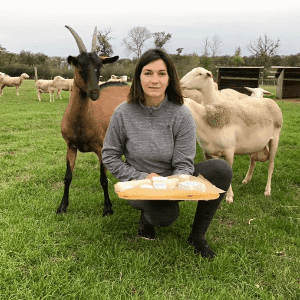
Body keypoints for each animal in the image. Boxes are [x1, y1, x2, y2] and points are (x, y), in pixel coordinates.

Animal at [56, 25, 129, 216]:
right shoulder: (70, 146)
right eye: (79, 65)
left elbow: (103, 178)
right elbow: (68, 177)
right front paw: (62, 206)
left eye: (99, 67)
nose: (95, 93)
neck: (82, 122)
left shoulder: (100, 147)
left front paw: (108, 208)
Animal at [180, 67, 284, 204]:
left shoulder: (229, 151)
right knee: (253, 160)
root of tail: (271, 101)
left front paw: (229, 197)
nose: (180, 83)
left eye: (199, 74)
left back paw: (267, 191)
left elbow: (229, 171)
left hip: (275, 139)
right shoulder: (207, 153)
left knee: (271, 165)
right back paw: (246, 179)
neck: (208, 120)